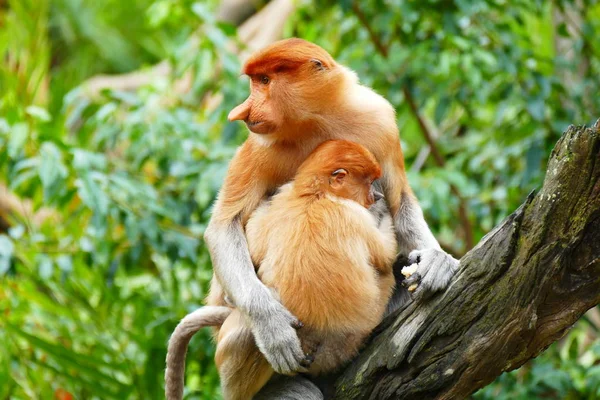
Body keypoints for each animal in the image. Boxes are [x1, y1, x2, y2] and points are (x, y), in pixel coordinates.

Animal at [212, 140, 398, 400]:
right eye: (369, 182)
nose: (378, 196)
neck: (314, 195)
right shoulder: (354, 215)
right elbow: (386, 253)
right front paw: (385, 213)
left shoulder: (281, 199)